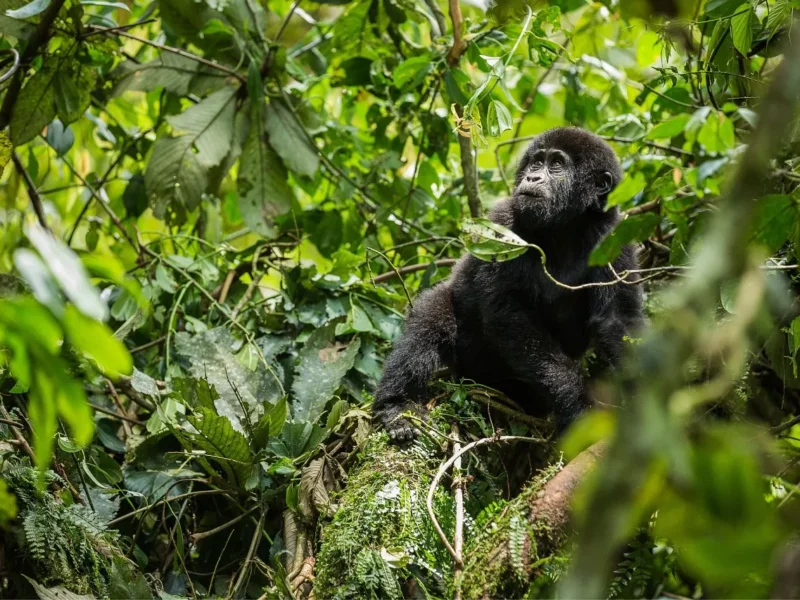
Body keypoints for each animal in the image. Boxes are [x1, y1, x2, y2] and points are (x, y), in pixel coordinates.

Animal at [373, 127, 644, 442]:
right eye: (536, 163)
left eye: (556, 164)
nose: (532, 178)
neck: (566, 227)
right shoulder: (503, 223)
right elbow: (510, 316)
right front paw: (579, 406)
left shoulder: (615, 235)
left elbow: (617, 320)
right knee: (431, 320)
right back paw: (397, 405)